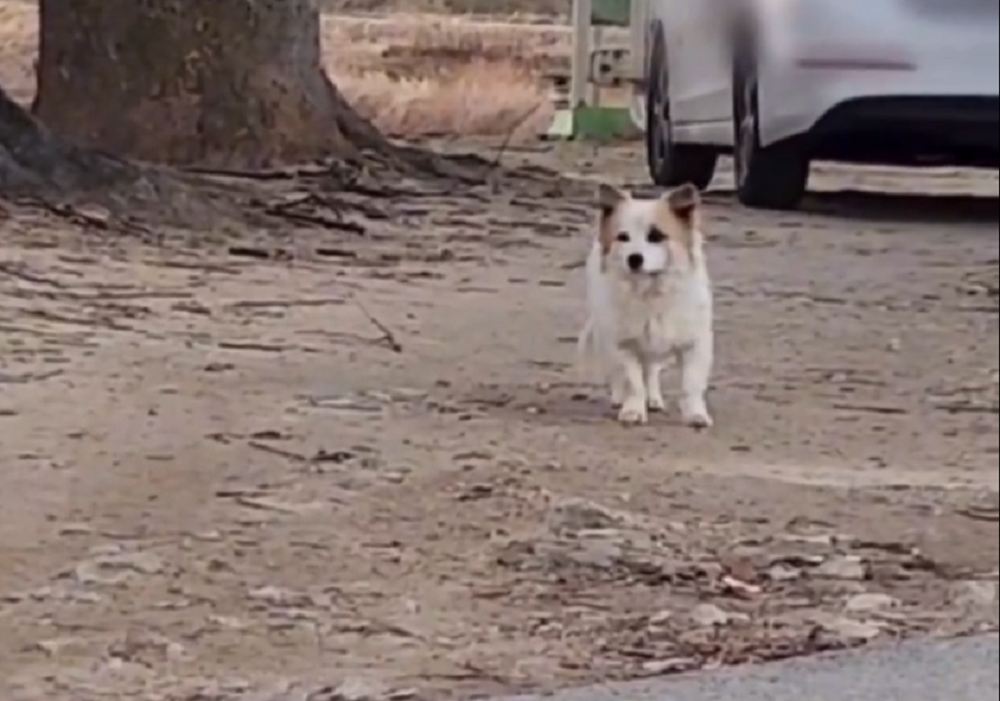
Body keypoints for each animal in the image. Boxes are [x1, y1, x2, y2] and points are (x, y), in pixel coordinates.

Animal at [580, 182, 712, 426]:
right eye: (623, 237)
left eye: (656, 236)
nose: (634, 258)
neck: (650, 291)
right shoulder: (623, 344)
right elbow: (633, 382)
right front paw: (632, 409)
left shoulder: (694, 344)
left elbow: (691, 385)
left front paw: (696, 415)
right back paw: (619, 398)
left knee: (651, 371)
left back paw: (654, 399)